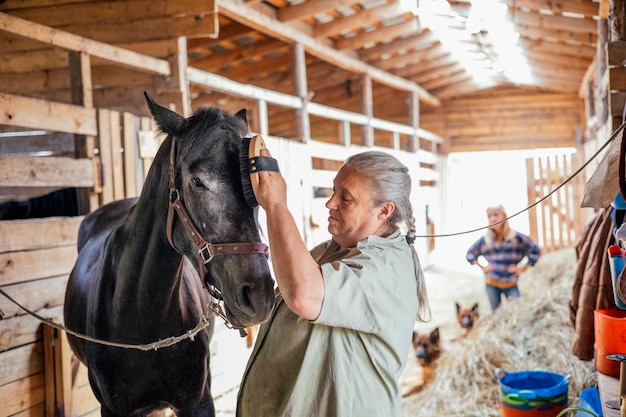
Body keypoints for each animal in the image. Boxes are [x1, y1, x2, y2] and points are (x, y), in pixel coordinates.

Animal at [64, 94, 276, 416]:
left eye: (254, 184)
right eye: (197, 181)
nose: (259, 296)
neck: (141, 312)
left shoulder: (198, 402)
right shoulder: (113, 408)